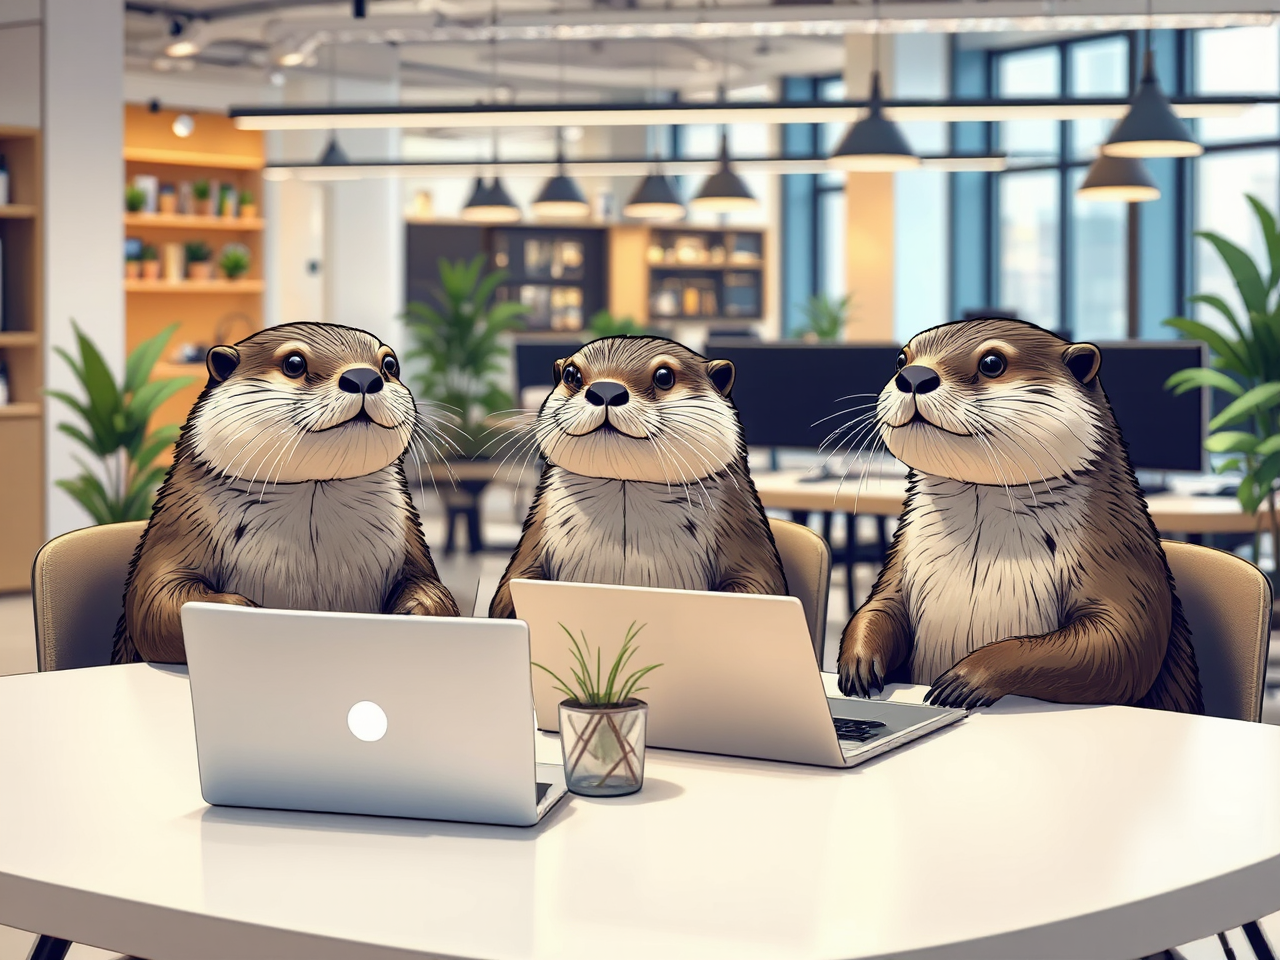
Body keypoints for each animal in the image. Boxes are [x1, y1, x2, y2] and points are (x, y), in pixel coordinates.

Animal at [112, 322, 460, 665]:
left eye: (389, 364)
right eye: (294, 363)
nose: (365, 377)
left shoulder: (409, 542)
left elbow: (432, 588)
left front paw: (413, 612)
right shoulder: (181, 524)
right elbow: (156, 602)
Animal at [490, 335, 787, 618]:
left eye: (664, 376)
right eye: (571, 375)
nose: (606, 390)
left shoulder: (743, 534)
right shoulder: (534, 539)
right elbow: (511, 587)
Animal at [837, 318, 1203, 713]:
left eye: (992, 362)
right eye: (901, 359)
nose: (913, 376)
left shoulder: (1118, 555)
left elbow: (1121, 643)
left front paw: (964, 678)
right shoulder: (901, 561)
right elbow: (880, 605)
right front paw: (857, 663)